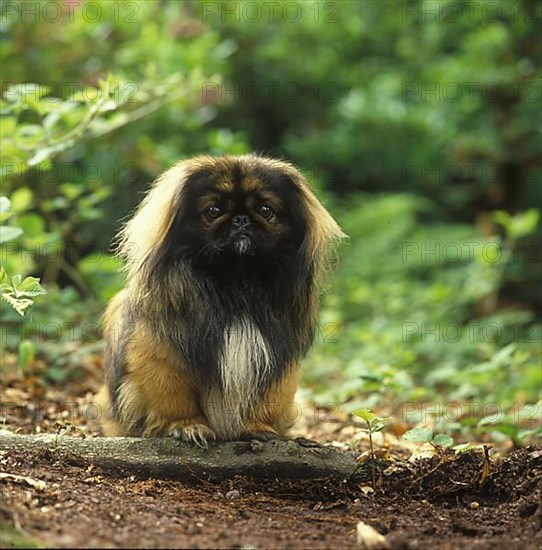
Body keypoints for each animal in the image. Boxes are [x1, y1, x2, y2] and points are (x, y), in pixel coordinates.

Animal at [95, 153, 346, 446]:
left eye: (265, 210)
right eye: (214, 210)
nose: (241, 219)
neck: (235, 284)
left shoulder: (277, 359)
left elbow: (268, 399)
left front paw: (257, 427)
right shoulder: (160, 358)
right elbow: (174, 398)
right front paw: (188, 425)